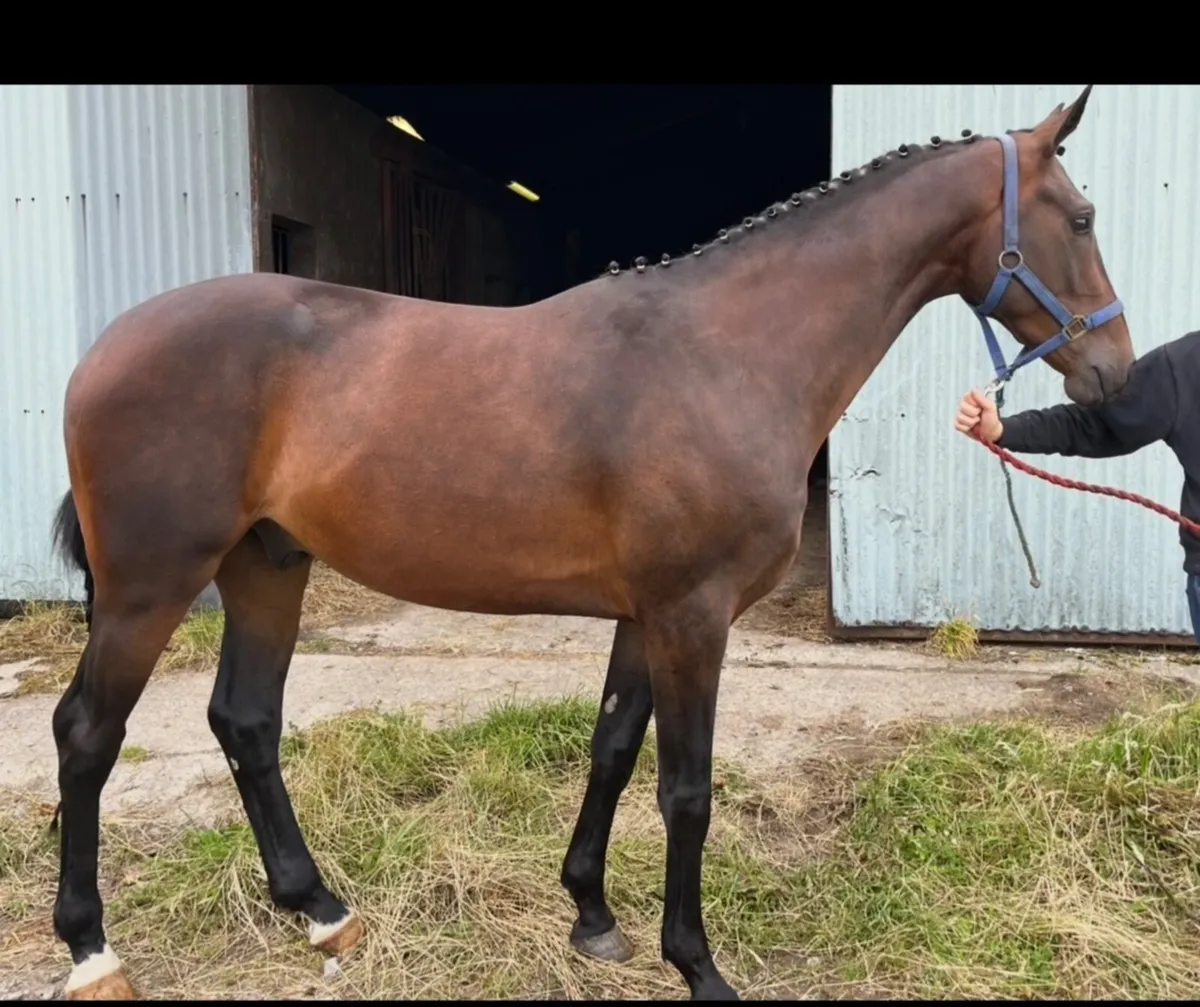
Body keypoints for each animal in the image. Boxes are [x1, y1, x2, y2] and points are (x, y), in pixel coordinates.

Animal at [46, 85, 1131, 1001]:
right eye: (1080, 217)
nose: (1116, 371)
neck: (725, 352)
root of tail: (103, 349)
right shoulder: (693, 616)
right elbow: (686, 787)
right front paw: (697, 964)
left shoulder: (645, 614)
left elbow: (611, 749)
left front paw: (593, 914)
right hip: (151, 586)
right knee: (88, 733)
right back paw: (93, 949)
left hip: (266, 566)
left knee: (245, 720)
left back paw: (320, 909)